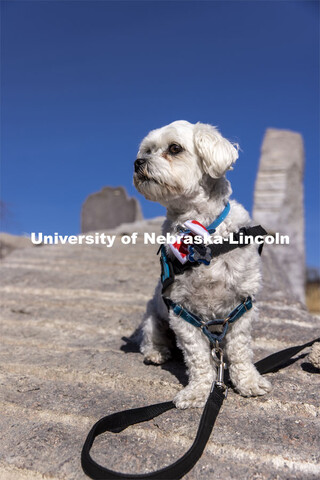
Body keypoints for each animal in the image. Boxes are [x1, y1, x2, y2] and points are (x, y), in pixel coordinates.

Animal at [132, 121, 270, 408]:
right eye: (147, 150)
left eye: (175, 148)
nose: (138, 162)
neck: (202, 234)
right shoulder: (181, 312)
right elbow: (198, 359)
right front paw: (198, 391)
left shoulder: (242, 305)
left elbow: (240, 350)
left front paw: (248, 382)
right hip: (152, 317)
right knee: (150, 338)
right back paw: (157, 352)